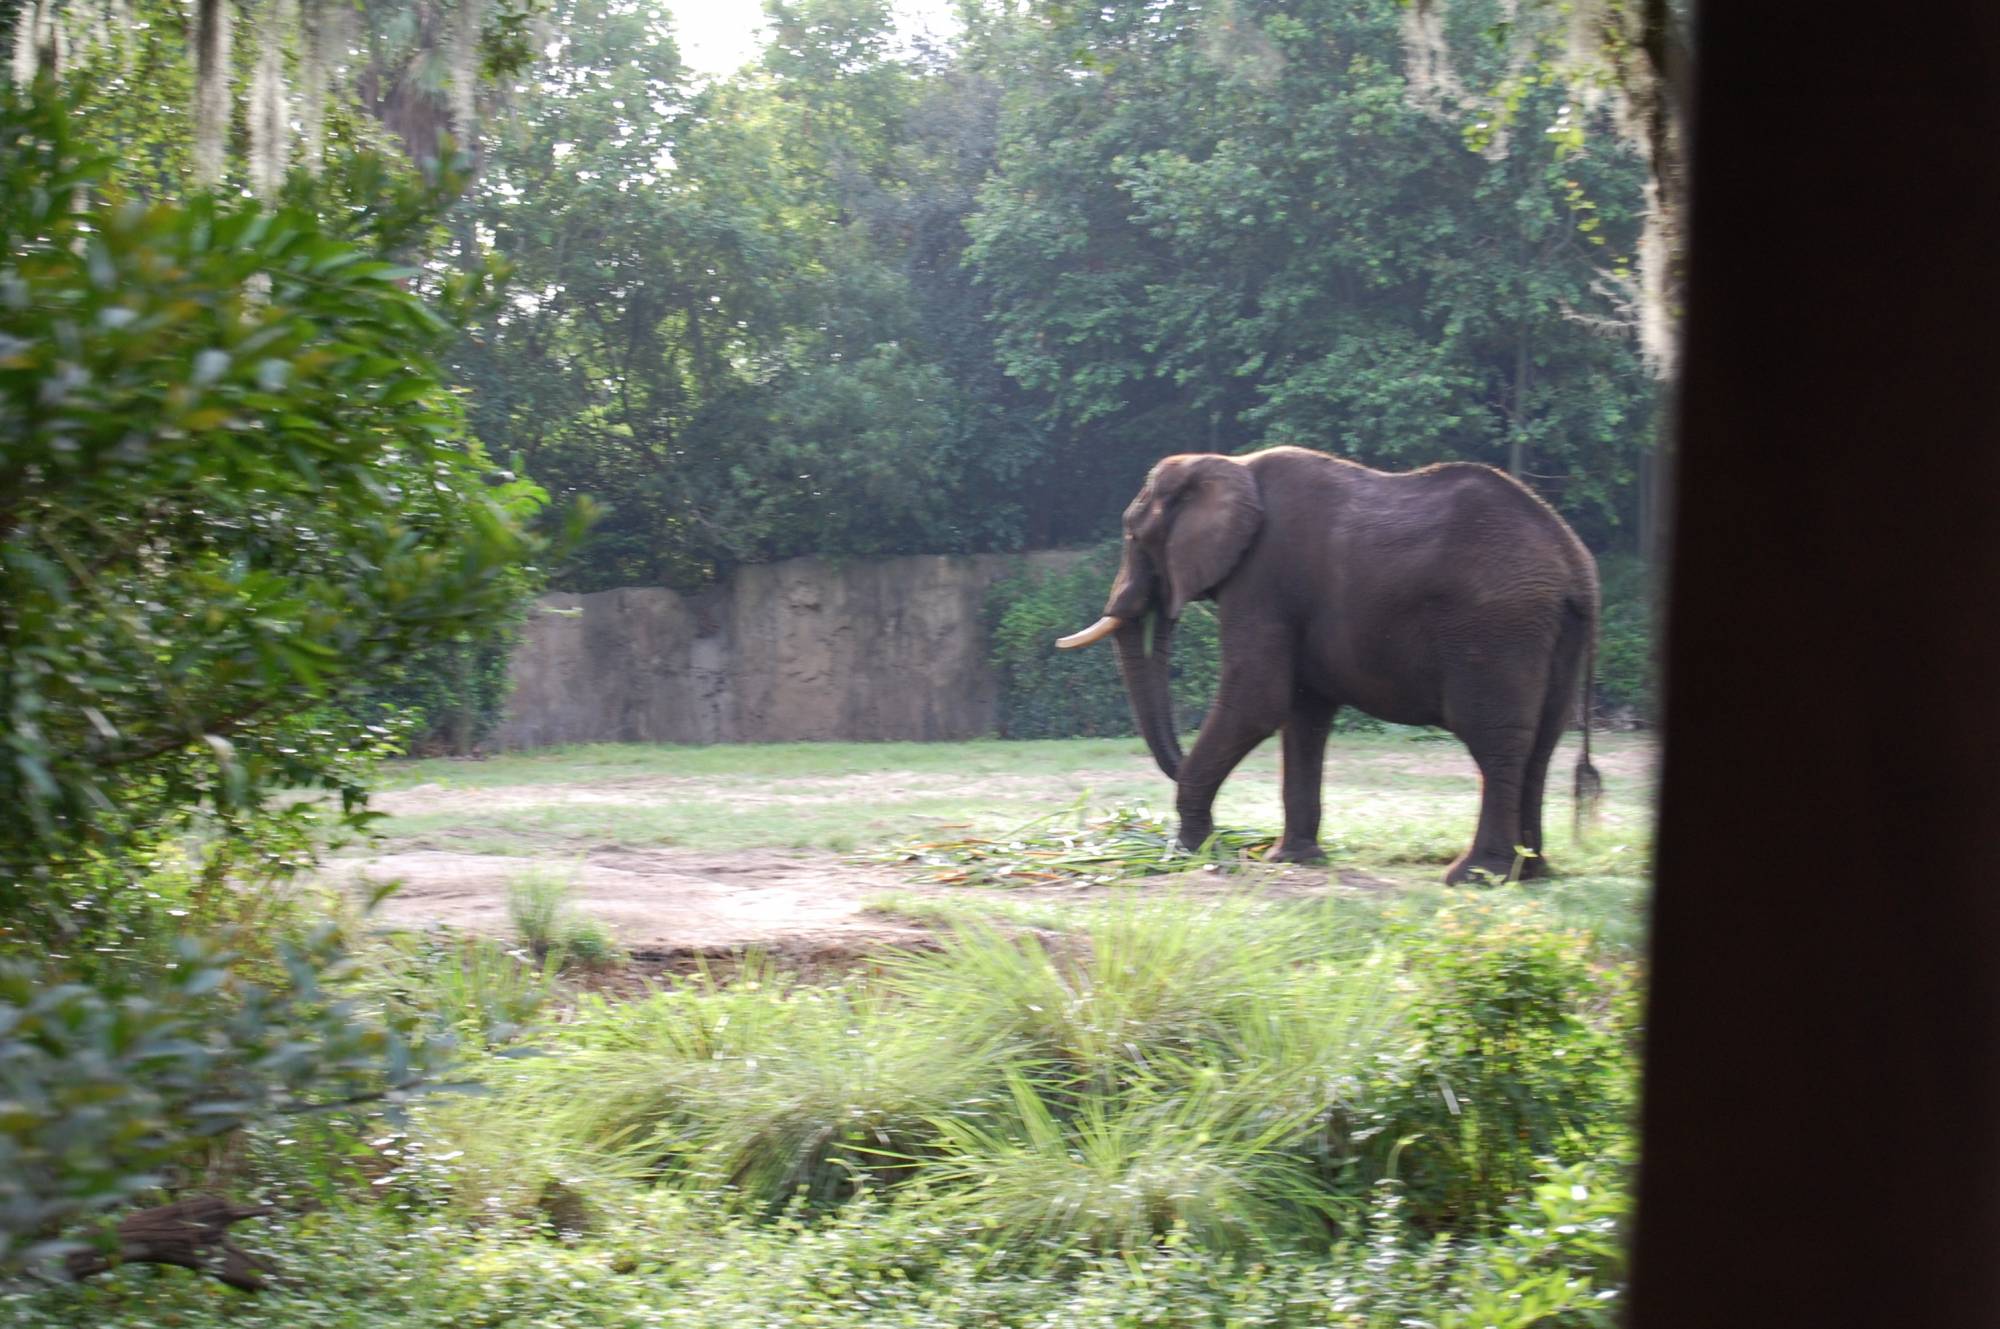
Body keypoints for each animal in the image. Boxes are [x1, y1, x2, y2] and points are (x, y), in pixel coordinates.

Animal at [1056, 446, 1600, 880]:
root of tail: (1575, 564)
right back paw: (1530, 873)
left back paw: (1476, 876)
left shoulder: (1264, 579)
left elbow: (1257, 701)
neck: (1229, 465)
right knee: (1541, 742)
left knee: (1495, 740)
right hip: (1549, 633)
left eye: (1134, 536)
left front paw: (1187, 854)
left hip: (1498, 628)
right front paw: (1289, 860)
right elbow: (1303, 714)